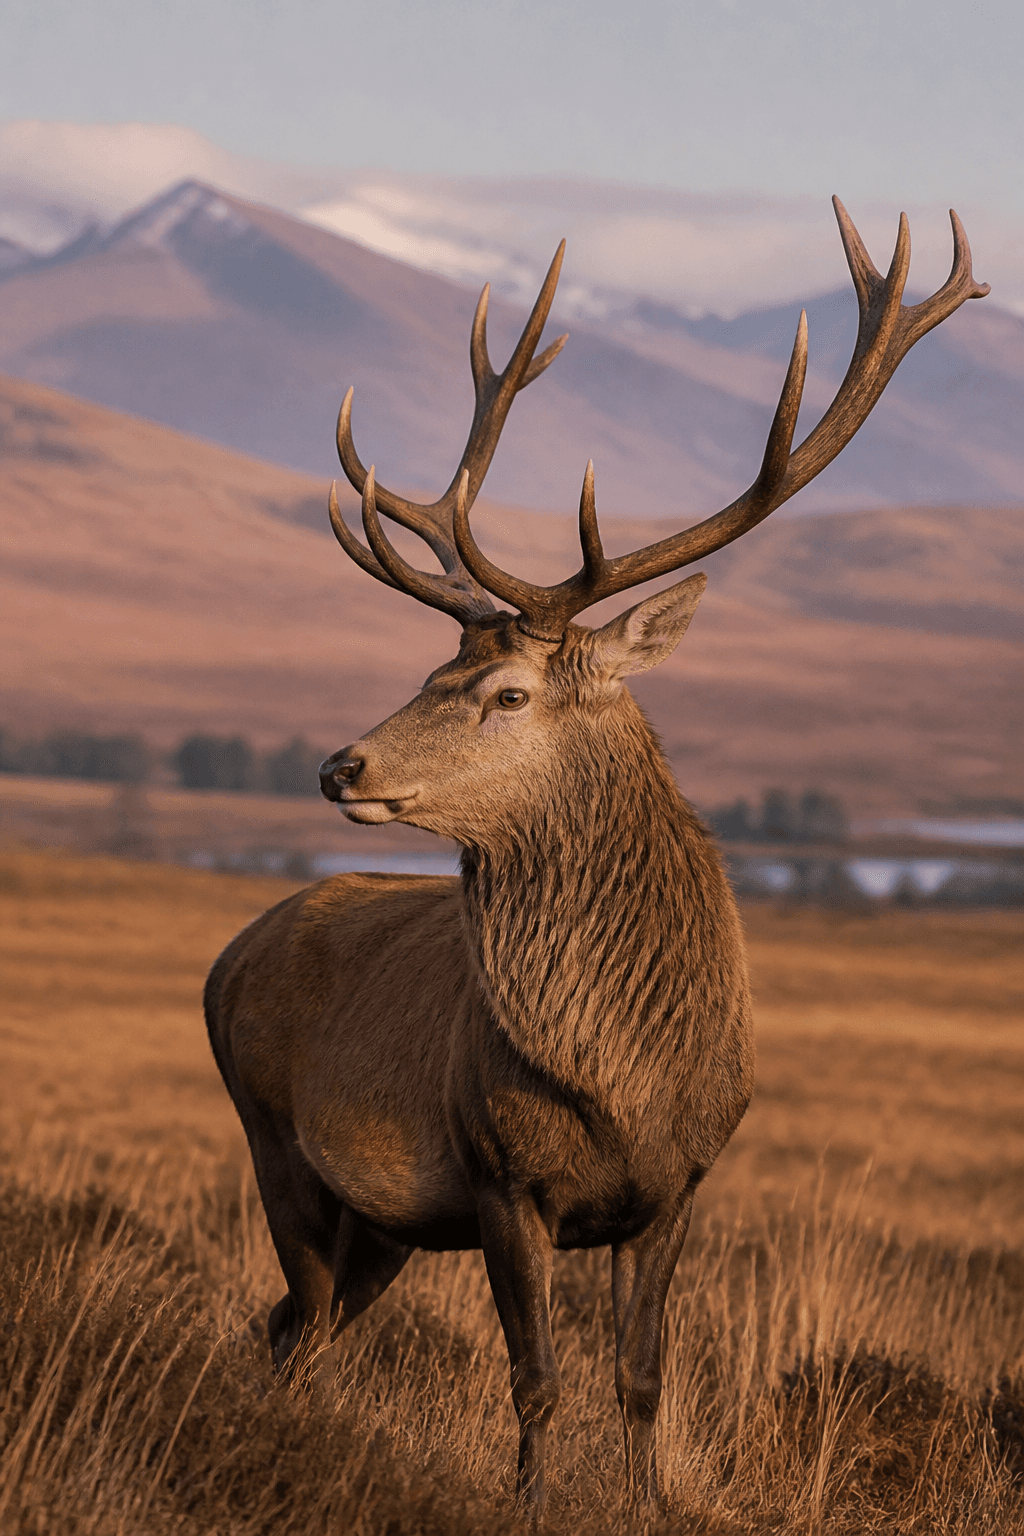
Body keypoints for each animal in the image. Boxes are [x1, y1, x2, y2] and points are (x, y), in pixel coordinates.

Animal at [204, 198, 987, 1515]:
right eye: (432, 670)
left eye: (506, 692)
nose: (337, 767)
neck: (624, 1080)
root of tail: (225, 956)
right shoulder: (497, 1177)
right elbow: (535, 1381)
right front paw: (522, 1505)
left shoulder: (680, 1187)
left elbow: (638, 1381)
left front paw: (653, 1503)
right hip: (276, 1144)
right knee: (294, 1325)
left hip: (380, 1227)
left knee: (290, 1329)